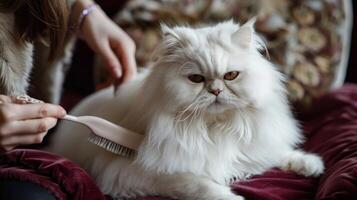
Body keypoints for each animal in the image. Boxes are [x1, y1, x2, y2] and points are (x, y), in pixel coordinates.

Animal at [48, 20, 324, 200]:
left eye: (231, 76)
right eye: (196, 79)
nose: (215, 91)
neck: (214, 128)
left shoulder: (252, 147)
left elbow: (275, 153)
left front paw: (310, 164)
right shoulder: (134, 171)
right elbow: (201, 184)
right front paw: (232, 197)